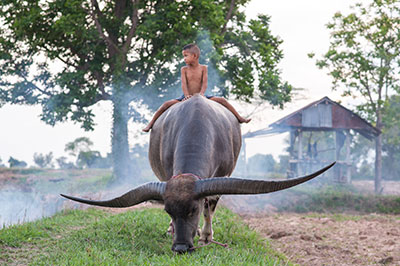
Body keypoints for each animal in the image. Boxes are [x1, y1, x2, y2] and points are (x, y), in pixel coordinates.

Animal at [61, 94, 332, 254]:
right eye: (168, 210)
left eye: (192, 210)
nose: (181, 248)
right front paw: (174, 229)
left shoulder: (220, 178)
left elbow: (210, 206)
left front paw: (206, 237)